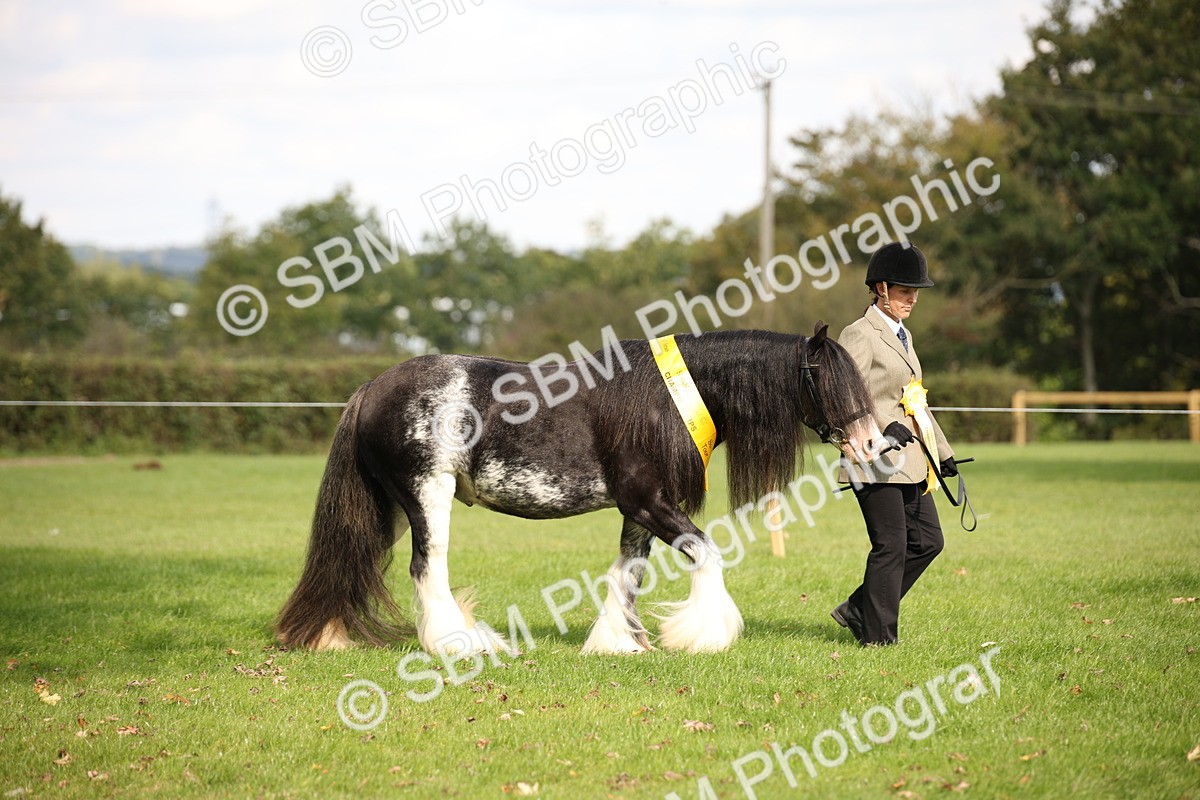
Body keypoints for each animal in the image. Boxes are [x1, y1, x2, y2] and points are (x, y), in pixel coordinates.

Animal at [275, 322, 882, 656]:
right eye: (828, 381)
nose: (874, 443)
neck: (670, 397)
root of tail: (371, 388)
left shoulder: (640, 511)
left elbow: (627, 573)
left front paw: (619, 643)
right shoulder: (650, 503)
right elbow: (707, 554)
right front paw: (703, 634)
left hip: (389, 506)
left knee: (350, 556)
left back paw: (328, 635)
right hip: (427, 494)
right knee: (427, 567)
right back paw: (458, 644)